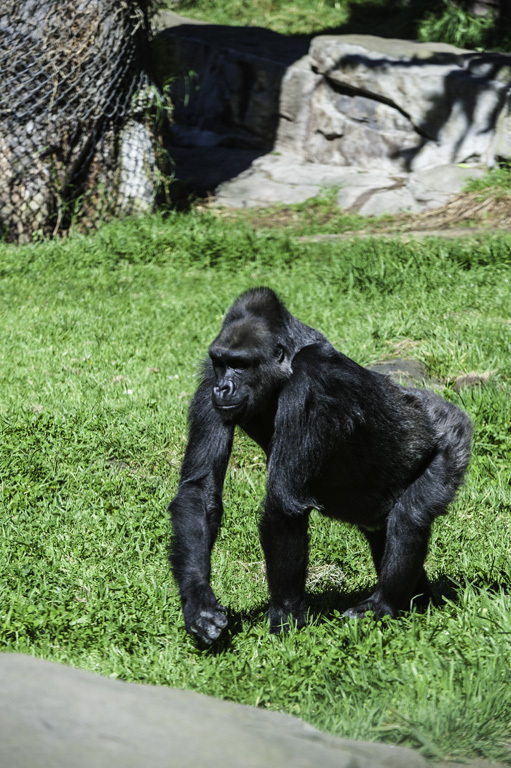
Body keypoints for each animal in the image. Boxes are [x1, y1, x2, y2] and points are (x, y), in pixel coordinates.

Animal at [170, 286, 474, 640]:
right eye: (221, 363)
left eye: (240, 365)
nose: (224, 387)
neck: (287, 364)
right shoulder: (209, 378)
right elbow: (200, 490)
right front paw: (198, 603)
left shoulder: (312, 380)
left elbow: (284, 504)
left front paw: (285, 616)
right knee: (382, 532)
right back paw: (418, 601)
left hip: (452, 438)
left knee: (410, 518)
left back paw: (383, 605)